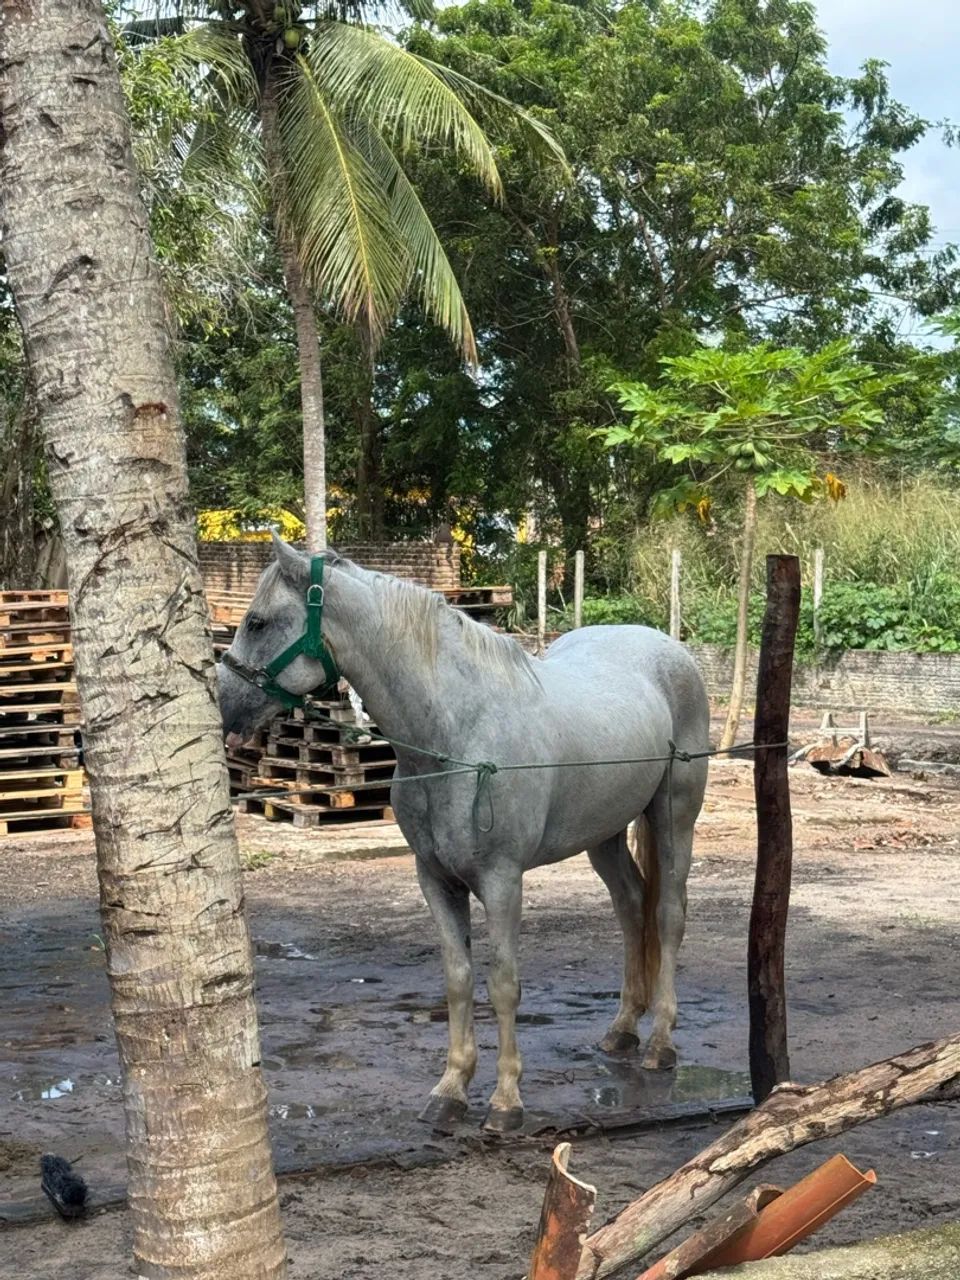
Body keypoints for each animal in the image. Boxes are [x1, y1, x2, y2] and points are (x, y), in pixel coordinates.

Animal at [217, 535, 710, 1132]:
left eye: (258, 622)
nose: (224, 707)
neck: (455, 735)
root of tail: (666, 648)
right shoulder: (435, 879)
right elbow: (457, 979)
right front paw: (451, 1089)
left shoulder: (502, 881)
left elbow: (503, 983)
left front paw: (506, 1100)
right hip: (605, 835)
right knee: (631, 905)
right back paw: (621, 1030)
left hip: (673, 817)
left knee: (667, 916)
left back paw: (660, 1041)